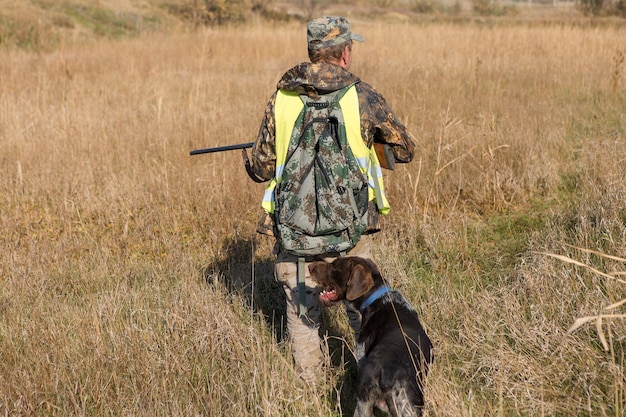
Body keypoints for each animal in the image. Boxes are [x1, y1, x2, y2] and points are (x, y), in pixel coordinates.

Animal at [308, 255, 434, 414]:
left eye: (334, 266)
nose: (310, 266)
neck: (379, 298)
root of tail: (385, 375)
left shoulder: (360, 353)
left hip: (365, 405)